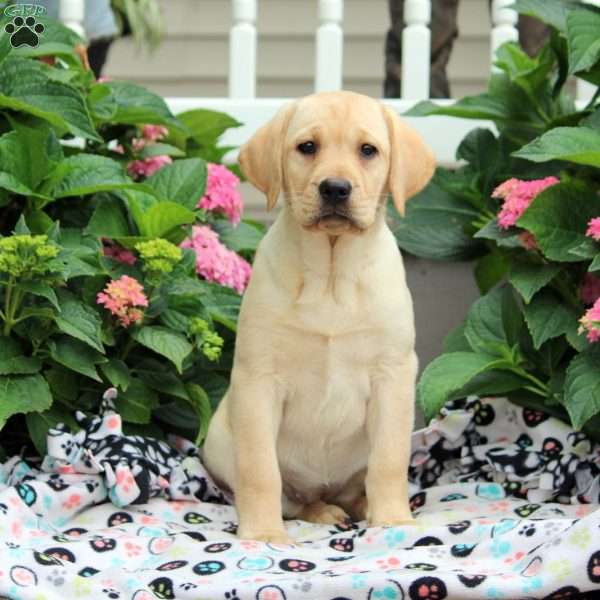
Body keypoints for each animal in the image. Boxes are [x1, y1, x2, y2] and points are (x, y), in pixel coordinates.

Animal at [204, 89, 434, 544]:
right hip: (219, 443)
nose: (335, 188)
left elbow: (388, 461)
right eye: (307, 147)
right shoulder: (258, 378)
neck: (331, 277)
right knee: (295, 499)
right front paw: (262, 534)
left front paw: (394, 520)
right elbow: (260, 470)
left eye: (368, 150)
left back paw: (360, 506)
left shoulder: (393, 373)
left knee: (357, 485)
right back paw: (321, 511)